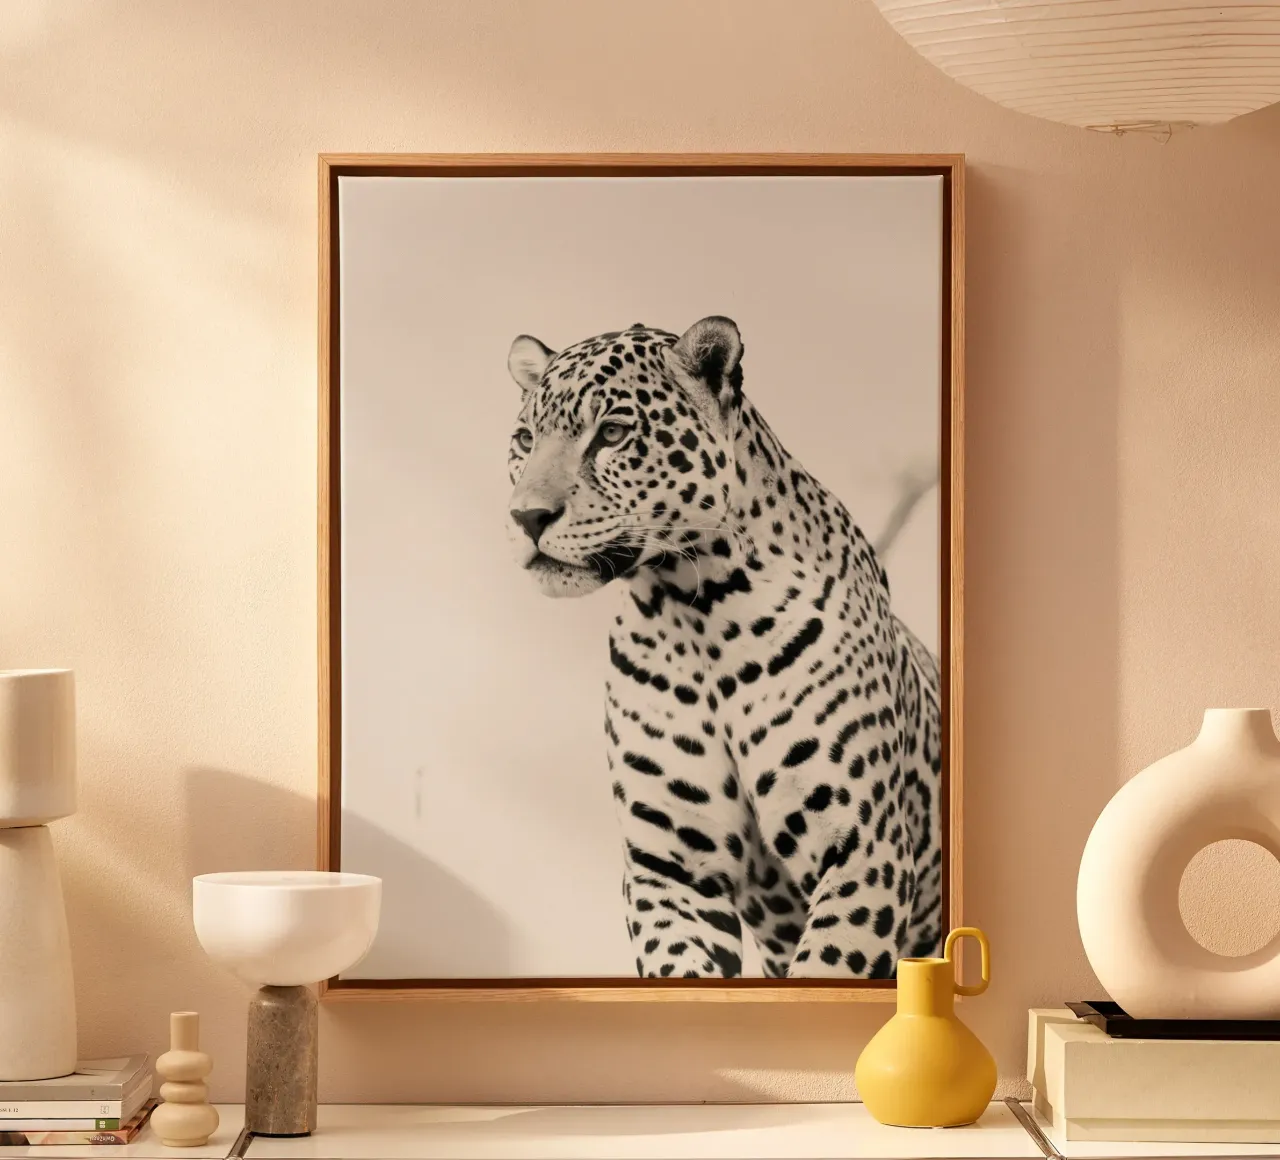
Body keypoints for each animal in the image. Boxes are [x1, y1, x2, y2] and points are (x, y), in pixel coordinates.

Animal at [503, 315, 943, 979]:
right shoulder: (671, 868)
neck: (695, 611)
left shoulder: (863, 849)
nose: (527, 517)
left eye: (612, 433)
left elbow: (827, 967)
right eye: (525, 440)